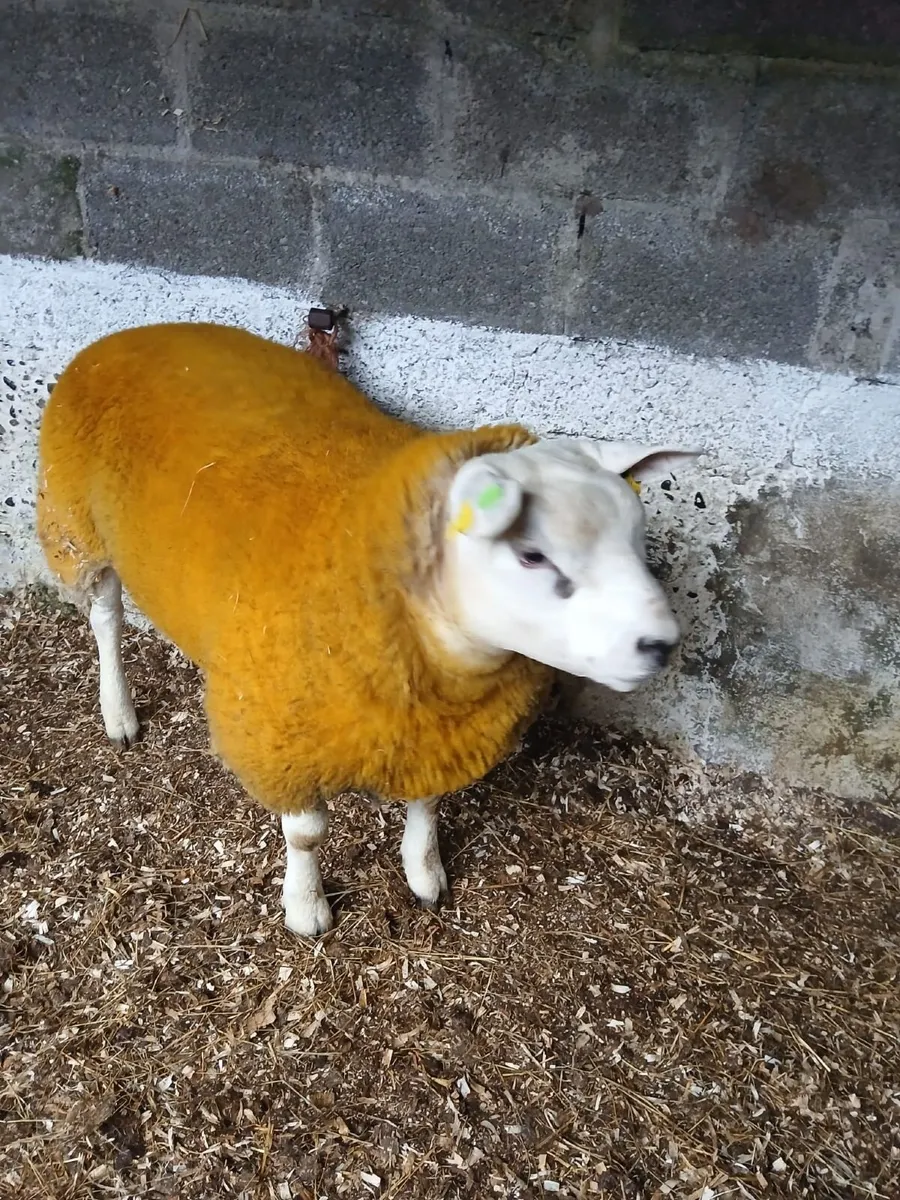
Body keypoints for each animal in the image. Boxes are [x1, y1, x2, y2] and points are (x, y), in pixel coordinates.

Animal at [36, 321, 696, 937]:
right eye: (532, 555)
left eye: (637, 539)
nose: (661, 644)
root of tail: (132, 334)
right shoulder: (283, 737)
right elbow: (306, 834)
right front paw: (306, 907)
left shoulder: (432, 729)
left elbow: (427, 800)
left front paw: (424, 873)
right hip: (77, 528)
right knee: (106, 620)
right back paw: (119, 712)